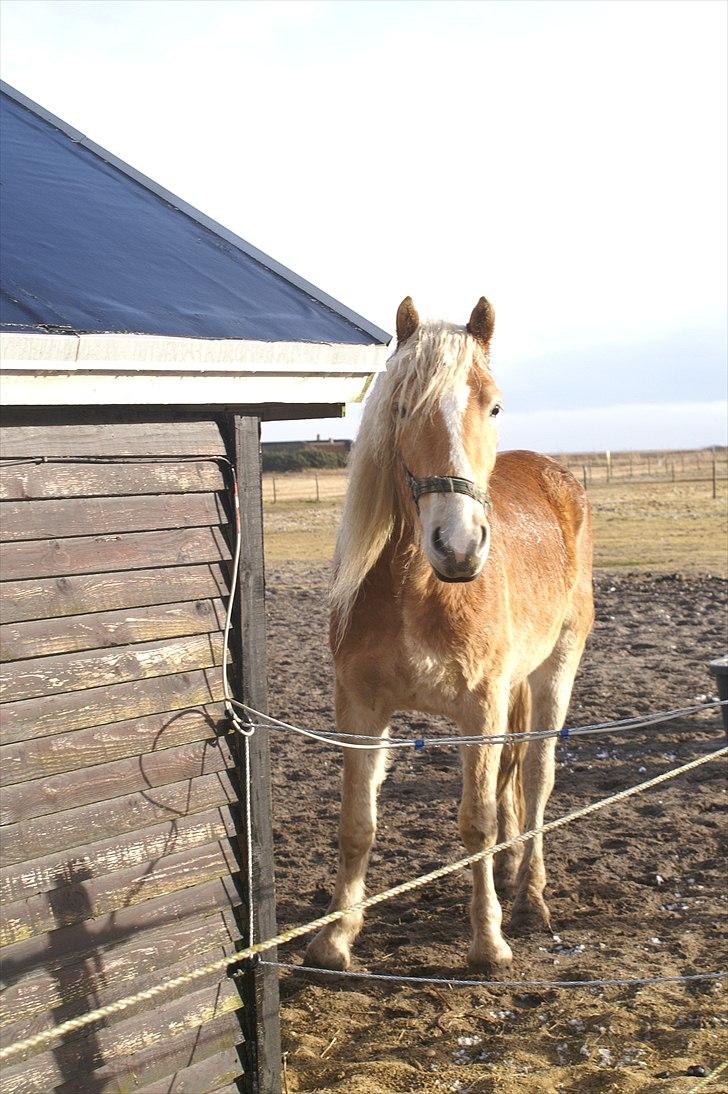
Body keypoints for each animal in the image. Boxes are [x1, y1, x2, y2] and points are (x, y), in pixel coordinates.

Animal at [304, 295, 595, 971]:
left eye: (494, 405)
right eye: (403, 406)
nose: (458, 546)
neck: (418, 588)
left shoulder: (478, 710)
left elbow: (476, 822)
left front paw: (488, 941)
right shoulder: (359, 708)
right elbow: (357, 823)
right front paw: (336, 937)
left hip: (555, 673)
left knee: (536, 778)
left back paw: (530, 898)